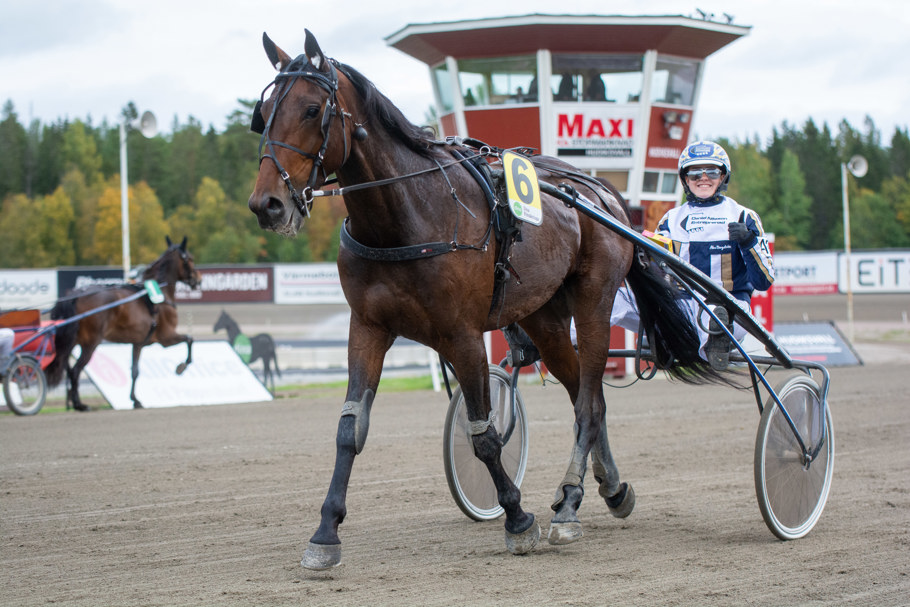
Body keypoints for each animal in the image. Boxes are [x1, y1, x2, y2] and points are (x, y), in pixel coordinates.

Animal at [46, 236, 201, 410]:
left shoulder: (138, 343)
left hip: (71, 342)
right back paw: (79, 404)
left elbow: (135, 371)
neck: (160, 296)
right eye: (190, 259)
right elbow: (189, 340)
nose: (198, 279)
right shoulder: (166, 337)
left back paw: (73, 402)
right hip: (91, 343)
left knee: (67, 367)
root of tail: (77, 294)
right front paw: (181, 367)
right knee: (75, 370)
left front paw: (135, 400)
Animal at [247, 31, 722, 569]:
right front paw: (326, 532)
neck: (407, 215)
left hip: (594, 301)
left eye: (311, 109)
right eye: (263, 113)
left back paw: (570, 503)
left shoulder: (463, 335)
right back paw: (610, 489)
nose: (267, 204)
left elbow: (484, 435)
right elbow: (351, 429)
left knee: (588, 403)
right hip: (543, 317)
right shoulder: (367, 327)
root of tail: (603, 193)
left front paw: (517, 518)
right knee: (587, 394)